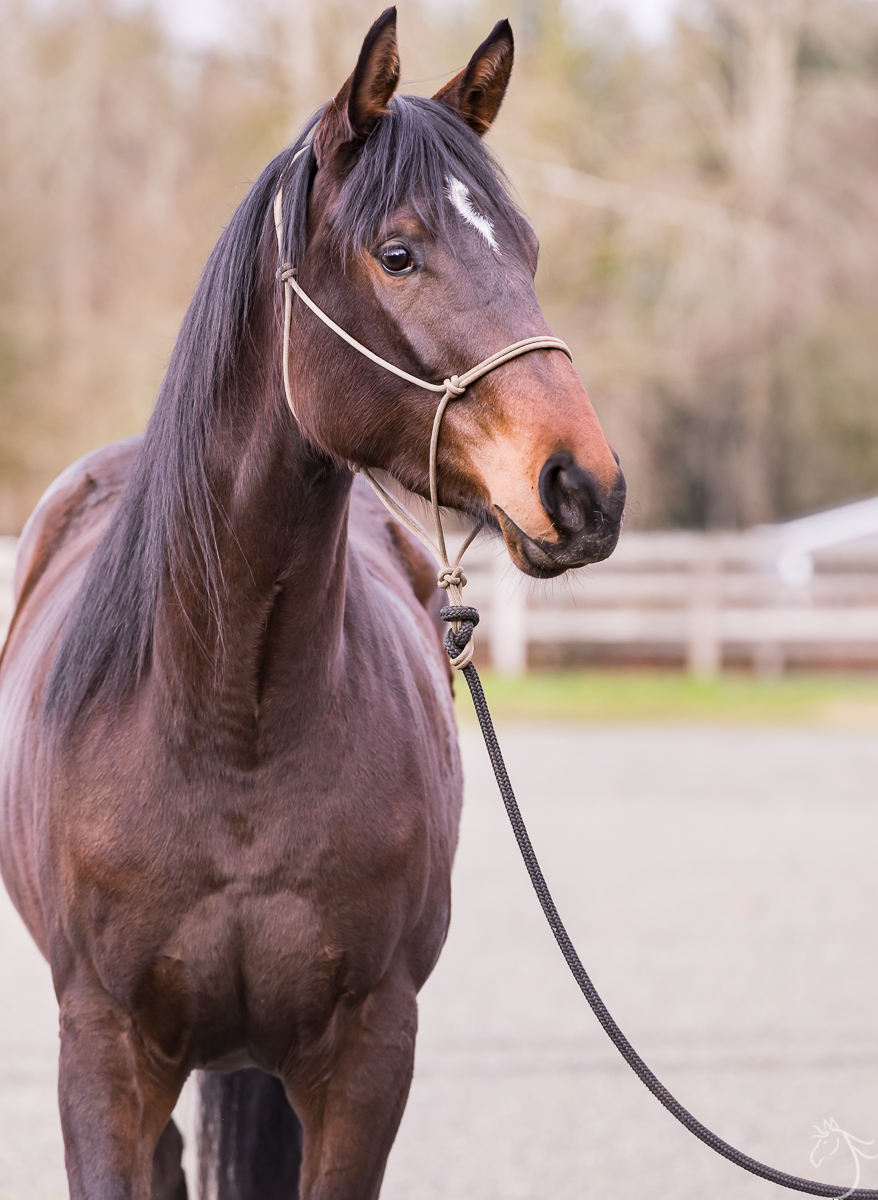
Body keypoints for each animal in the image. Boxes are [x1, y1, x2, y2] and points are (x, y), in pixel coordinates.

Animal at [0, 11, 623, 1200]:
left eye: (524, 250)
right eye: (398, 252)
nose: (585, 486)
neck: (231, 718)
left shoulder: (366, 1054)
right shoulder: (100, 1054)